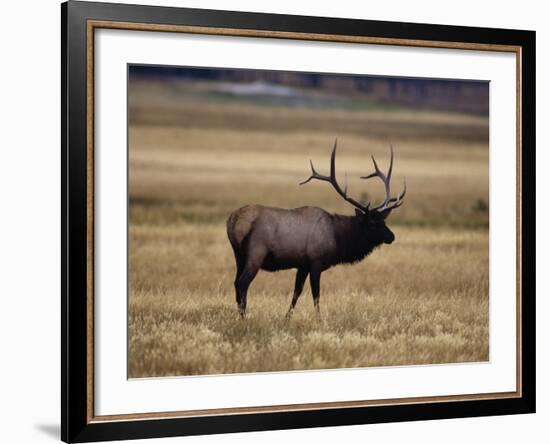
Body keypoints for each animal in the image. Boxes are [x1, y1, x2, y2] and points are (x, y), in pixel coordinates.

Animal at [226, 140, 408, 318]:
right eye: (372, 223)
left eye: (383, 220)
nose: (391, 236)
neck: (338, 238)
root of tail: (234, 221)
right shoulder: (315, 261)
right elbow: (316, 294)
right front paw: (318, 319)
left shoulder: (302, 265)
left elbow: (297, 292)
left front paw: (287, 317)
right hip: (256, 253)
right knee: (243, 283)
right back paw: (244, 317)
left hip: (239, 255)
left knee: (235, 283)